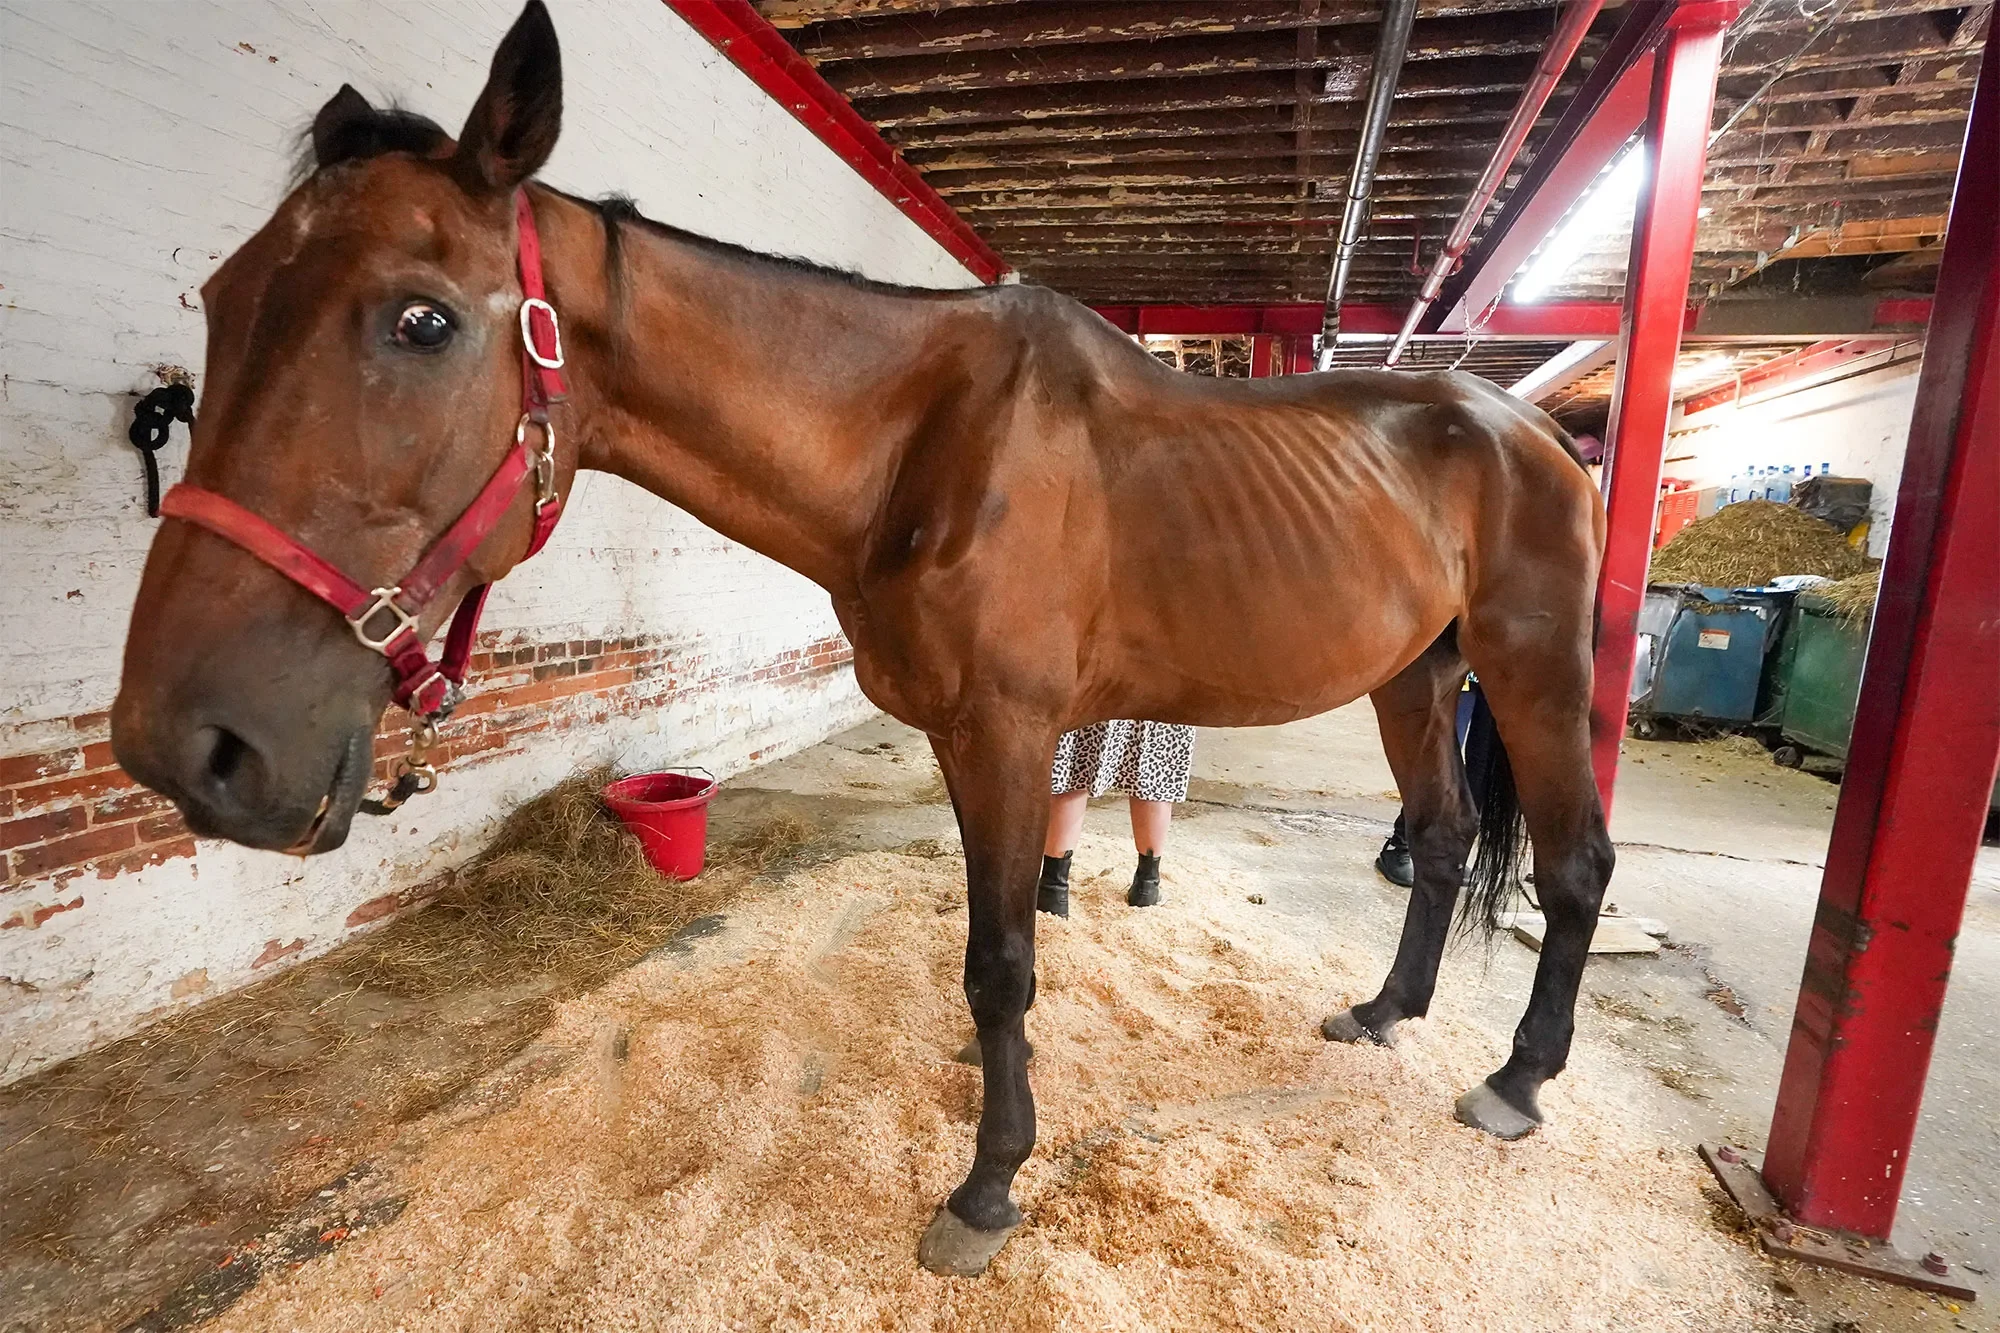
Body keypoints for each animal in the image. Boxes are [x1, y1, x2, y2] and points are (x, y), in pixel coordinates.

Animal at [110, 2, 1613, 1277]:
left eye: (420, 318)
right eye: (219, 297)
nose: (189, 747)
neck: (925, 443)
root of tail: (1534, 430)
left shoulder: (1008, 729)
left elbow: (1002, 959)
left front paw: (987, 1188)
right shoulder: (959, 734)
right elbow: (989, 955)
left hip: (1530, 673)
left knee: (1576, 865)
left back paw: (1515, 1080)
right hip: (1416, 676)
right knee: (1442, 839)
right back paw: (1386, 1012)